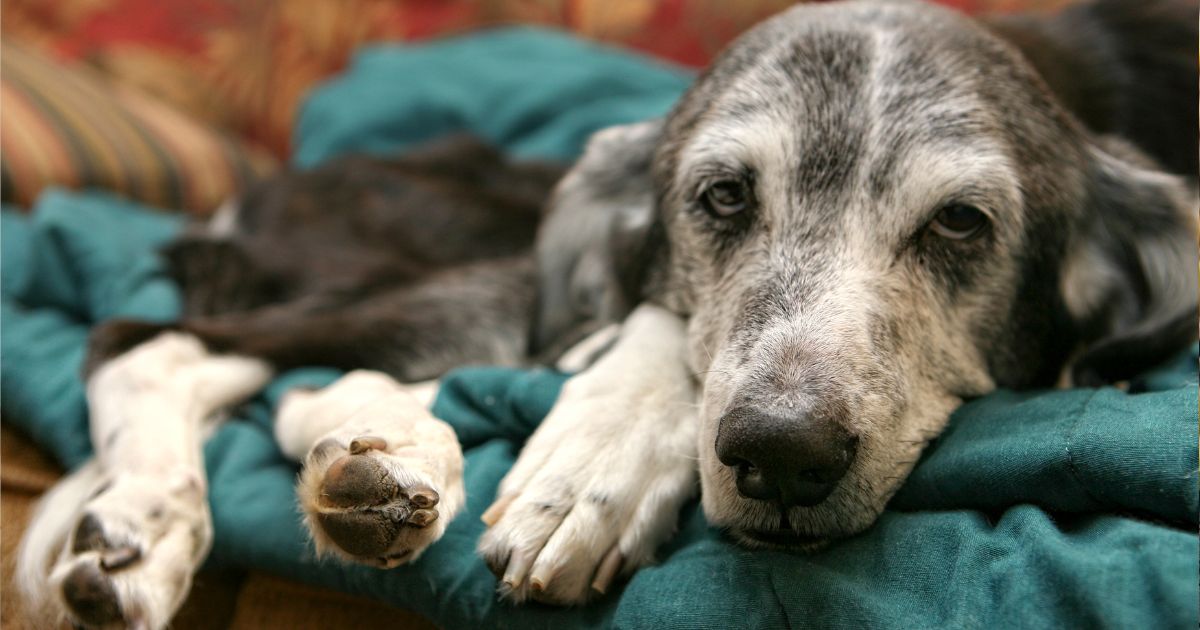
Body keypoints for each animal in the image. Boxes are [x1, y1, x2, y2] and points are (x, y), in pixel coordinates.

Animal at [14, 0, 1195, 624]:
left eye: (959, 223)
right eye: (722, 197)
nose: (781, 455)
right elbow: (661, 327)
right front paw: (595, 467)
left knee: (292, 380)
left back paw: (371, 467)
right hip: (491, 278)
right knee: (148, 342)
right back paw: (159, 520)